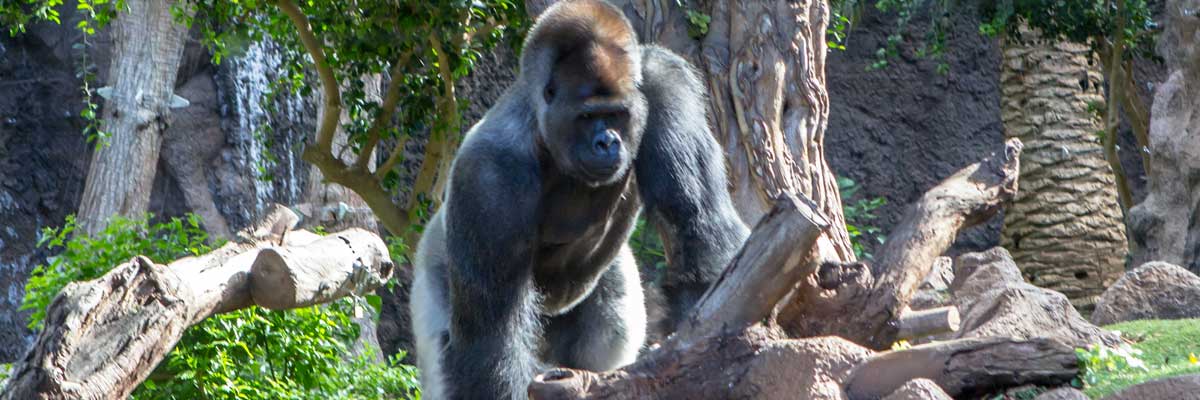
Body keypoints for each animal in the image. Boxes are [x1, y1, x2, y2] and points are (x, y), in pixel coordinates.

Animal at [409, 1, 750, 399]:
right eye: (586, 116)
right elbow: (491, 342)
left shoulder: (664, 80)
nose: (607, 143)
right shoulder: (486, 177)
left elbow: (699, 226)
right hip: (433, 266)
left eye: (616, 114)